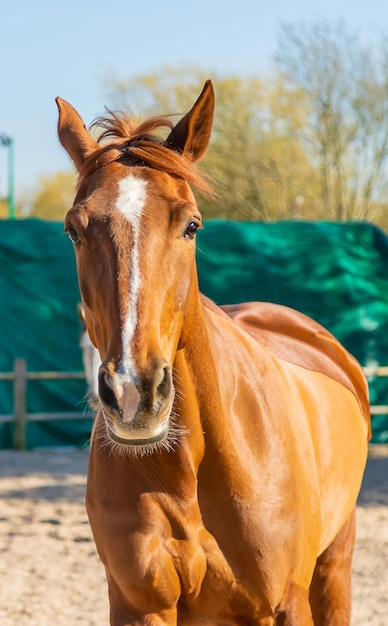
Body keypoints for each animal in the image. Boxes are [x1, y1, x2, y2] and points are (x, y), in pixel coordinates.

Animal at [56, 80, 370, 620]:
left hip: (335, 563)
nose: (133, 394)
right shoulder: (140, 607)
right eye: (74, 230)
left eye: (192, 226)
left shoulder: (286, 603)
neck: (191, 469)